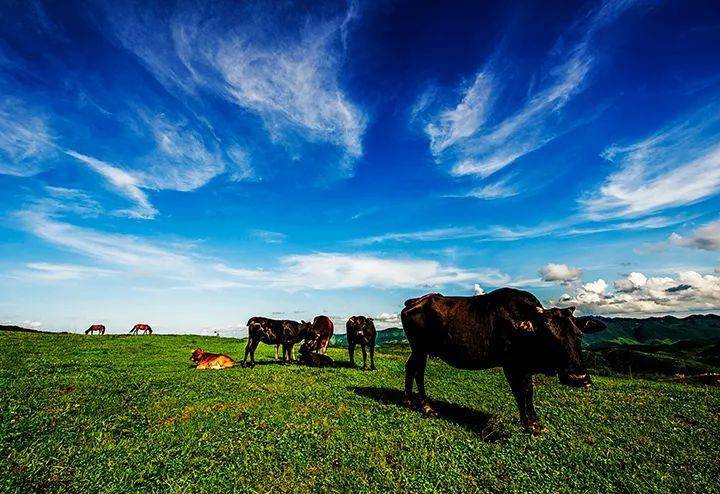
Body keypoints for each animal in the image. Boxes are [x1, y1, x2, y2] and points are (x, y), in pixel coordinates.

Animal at [402, 288, 604, 434]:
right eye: (549, 336)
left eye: (579, 335)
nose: (578, 378)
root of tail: (416, 301)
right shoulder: (512, 365)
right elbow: (521, 393)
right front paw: (528, 425)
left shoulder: (525, 367)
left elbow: (529, 392)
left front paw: (535, 421)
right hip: (420, 349)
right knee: (418, 372)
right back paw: (427, 407)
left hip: (420, 351)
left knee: (411, 368)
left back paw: (410, 401)